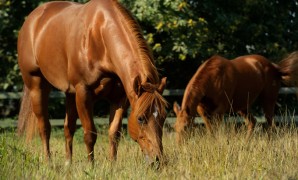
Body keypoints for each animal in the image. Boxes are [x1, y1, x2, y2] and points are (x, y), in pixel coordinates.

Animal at [16, 0, 168, 165]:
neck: (99, 38)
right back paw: (48, 162)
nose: (158, 160)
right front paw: (91, 165)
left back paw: (68, 163)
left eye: (164, 116)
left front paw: (112, 165)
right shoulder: (84, 93)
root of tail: (32, 19)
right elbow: (90, 133)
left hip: (70, 94)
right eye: (140, 118)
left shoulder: (119, 98)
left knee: (68, 128)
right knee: (44, 127)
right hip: (37, 86)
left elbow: (114, 133)